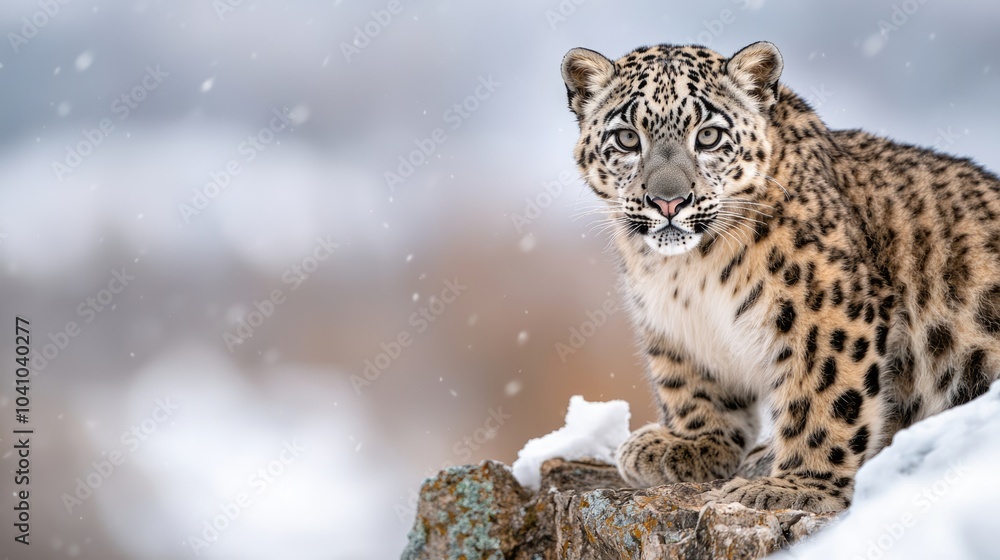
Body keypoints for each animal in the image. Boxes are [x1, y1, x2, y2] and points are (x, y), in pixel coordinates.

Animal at [560, 41, 1000, 513]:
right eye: (627, 138)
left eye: (708, 136)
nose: (668, 201)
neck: (687, 270)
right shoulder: (671, 322)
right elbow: (688, 382)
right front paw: (690, 445)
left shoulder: (829, 313)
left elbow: (824, 397)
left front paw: (797, 486)